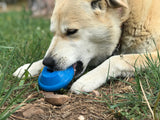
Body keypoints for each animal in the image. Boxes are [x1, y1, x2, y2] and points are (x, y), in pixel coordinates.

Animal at [13, 0, 160, 94]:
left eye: (71, 31)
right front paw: (28, 68)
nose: (48, 63)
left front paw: (87, 79)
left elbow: (116, 59)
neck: (126, 20)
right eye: (53, 32)